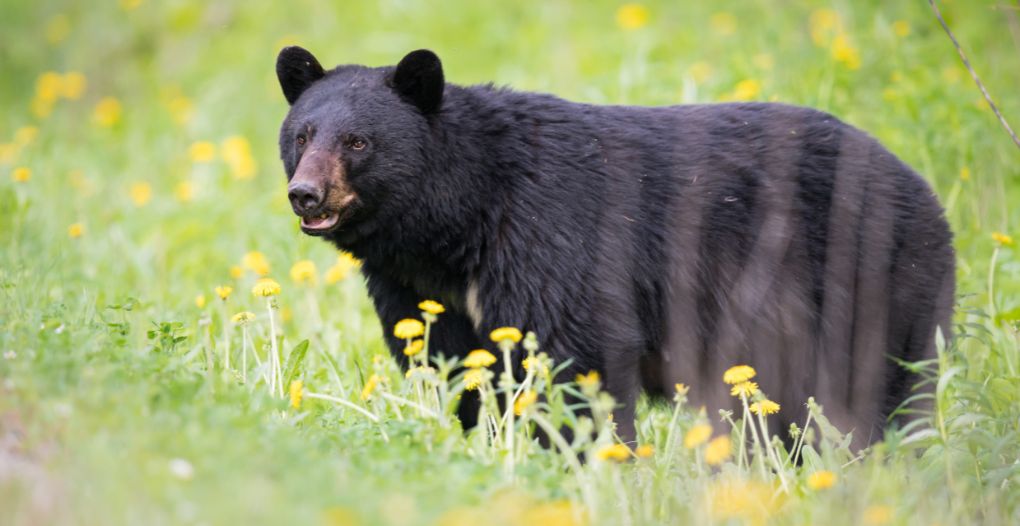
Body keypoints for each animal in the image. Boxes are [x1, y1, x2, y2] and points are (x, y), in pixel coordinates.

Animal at [273, 47, 954, 448]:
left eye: (358, 141)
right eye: (302, 134)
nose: (305, 193)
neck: (457, 222)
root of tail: (924, 188)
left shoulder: (550, 234)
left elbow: (576, 352)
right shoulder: (418, 288)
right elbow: (455, 363)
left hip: (872, 279)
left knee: (876, 387)